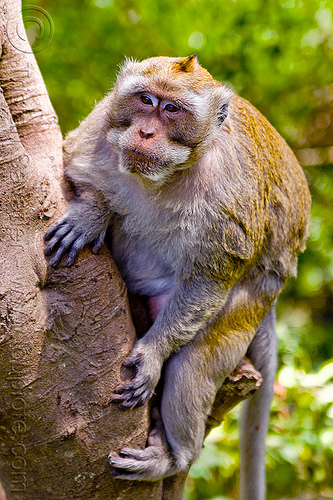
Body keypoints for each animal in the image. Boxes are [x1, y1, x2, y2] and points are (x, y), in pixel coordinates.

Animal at [43, 54, 308, 500]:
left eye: (171, 109)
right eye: (146, 100)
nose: (146, 131)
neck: (164, 177)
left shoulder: (228, 193)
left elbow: (208, 279)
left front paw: (151, 356)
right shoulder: (102, 125)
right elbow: (74, 163)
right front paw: (91, 213)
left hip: (256, 293)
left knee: (195, 359)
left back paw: (175, 456)